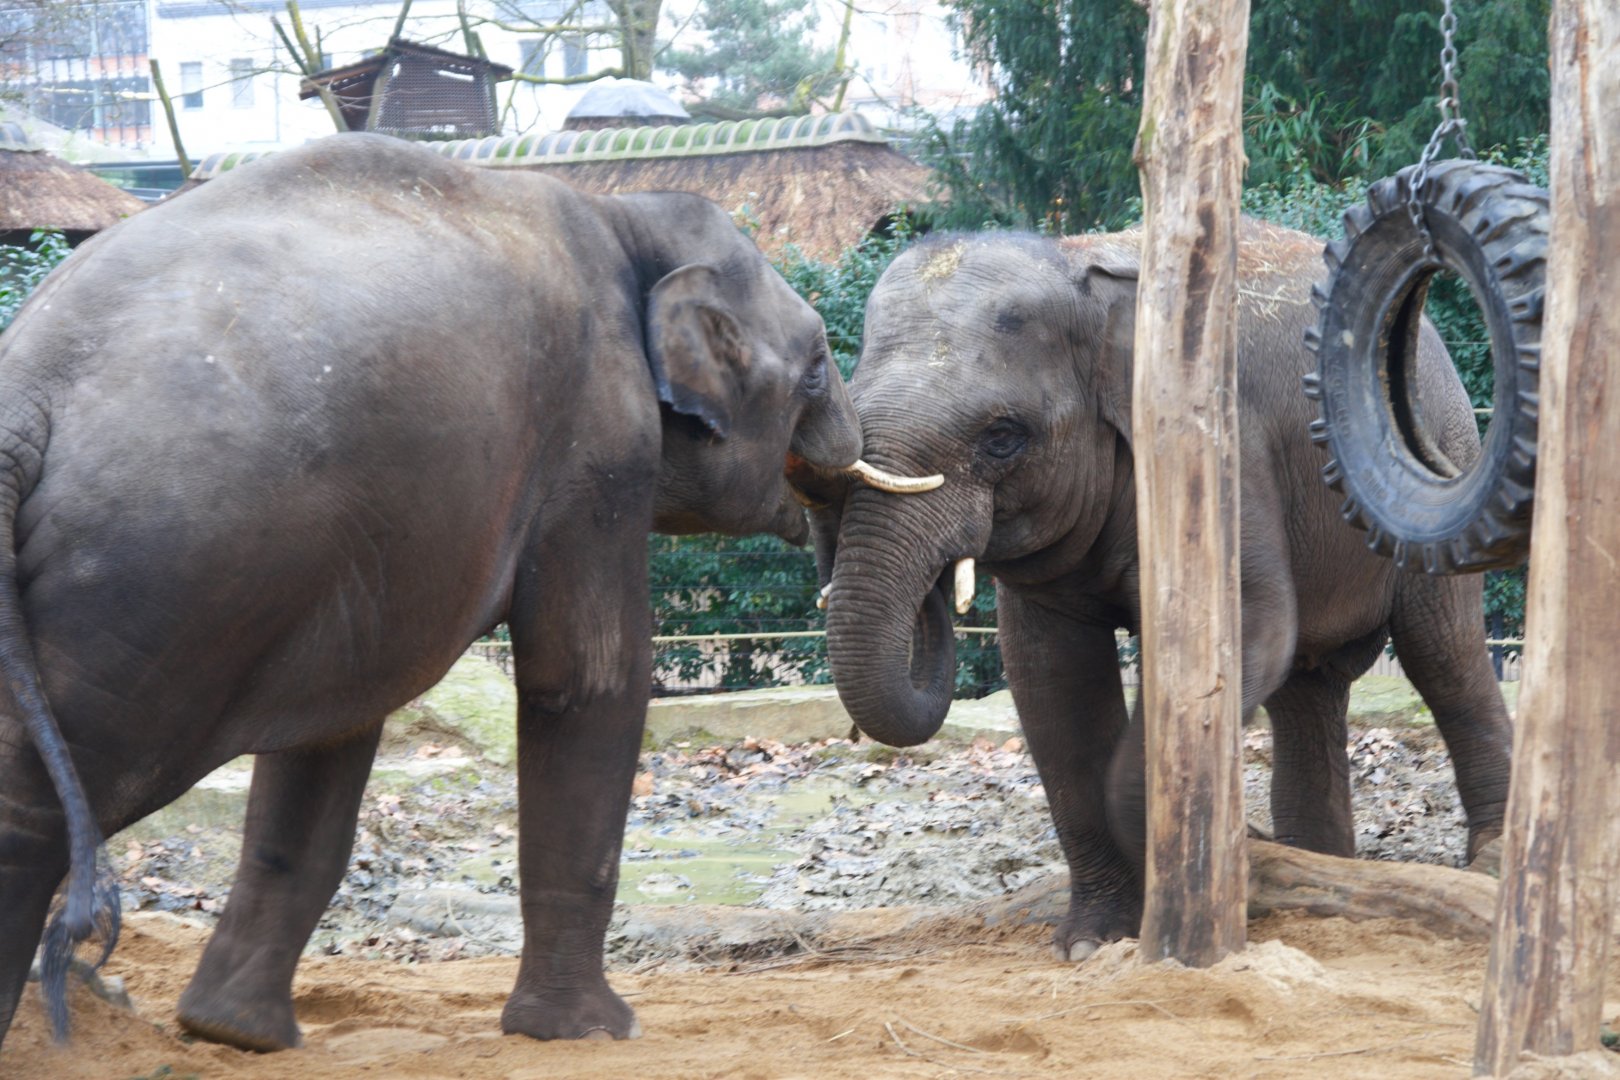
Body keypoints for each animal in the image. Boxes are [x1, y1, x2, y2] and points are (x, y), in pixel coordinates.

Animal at [0, 131, 946, 1052]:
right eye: (817, 365)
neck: (622, 217)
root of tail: (27, 390)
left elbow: (333, 729)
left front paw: (235, 1034)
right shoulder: (598, 443)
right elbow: (588, 681)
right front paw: (590, 1032)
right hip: (156, 579)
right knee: (53, 797)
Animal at [806, 219, 1513, 960]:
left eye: (1002, 438)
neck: (1081, 274)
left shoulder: (1226, 447)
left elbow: (1251, 626)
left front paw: (1224, 866)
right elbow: (1051, 681)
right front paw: (1094, 941)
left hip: (1441, 451)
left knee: (1444, 654)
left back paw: (1484, 862)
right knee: (1307, 688)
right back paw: (1318, 863)